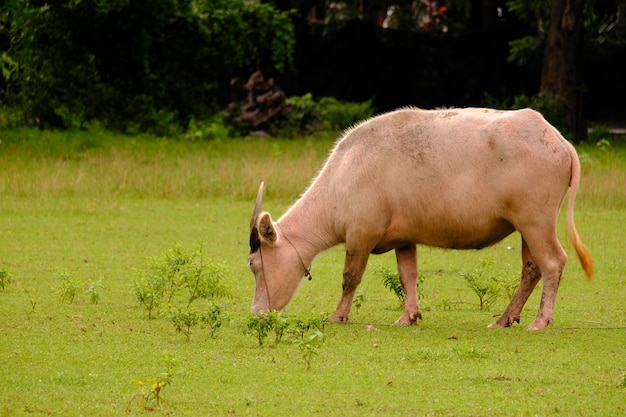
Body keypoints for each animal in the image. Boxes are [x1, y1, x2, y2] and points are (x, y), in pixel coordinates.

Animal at [245, 106, 588, 328]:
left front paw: (338, 315)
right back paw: (505, 319)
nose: (256, 312)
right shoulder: (403, 239)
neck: (344, 175)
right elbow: (407, 274)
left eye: (253, 264)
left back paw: (540, 320)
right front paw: (408, 316)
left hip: (536, 222)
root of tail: (556, 139)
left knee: (552, 263)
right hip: (526, 226)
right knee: (531, 268)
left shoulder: (360, 236)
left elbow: (349, 277)